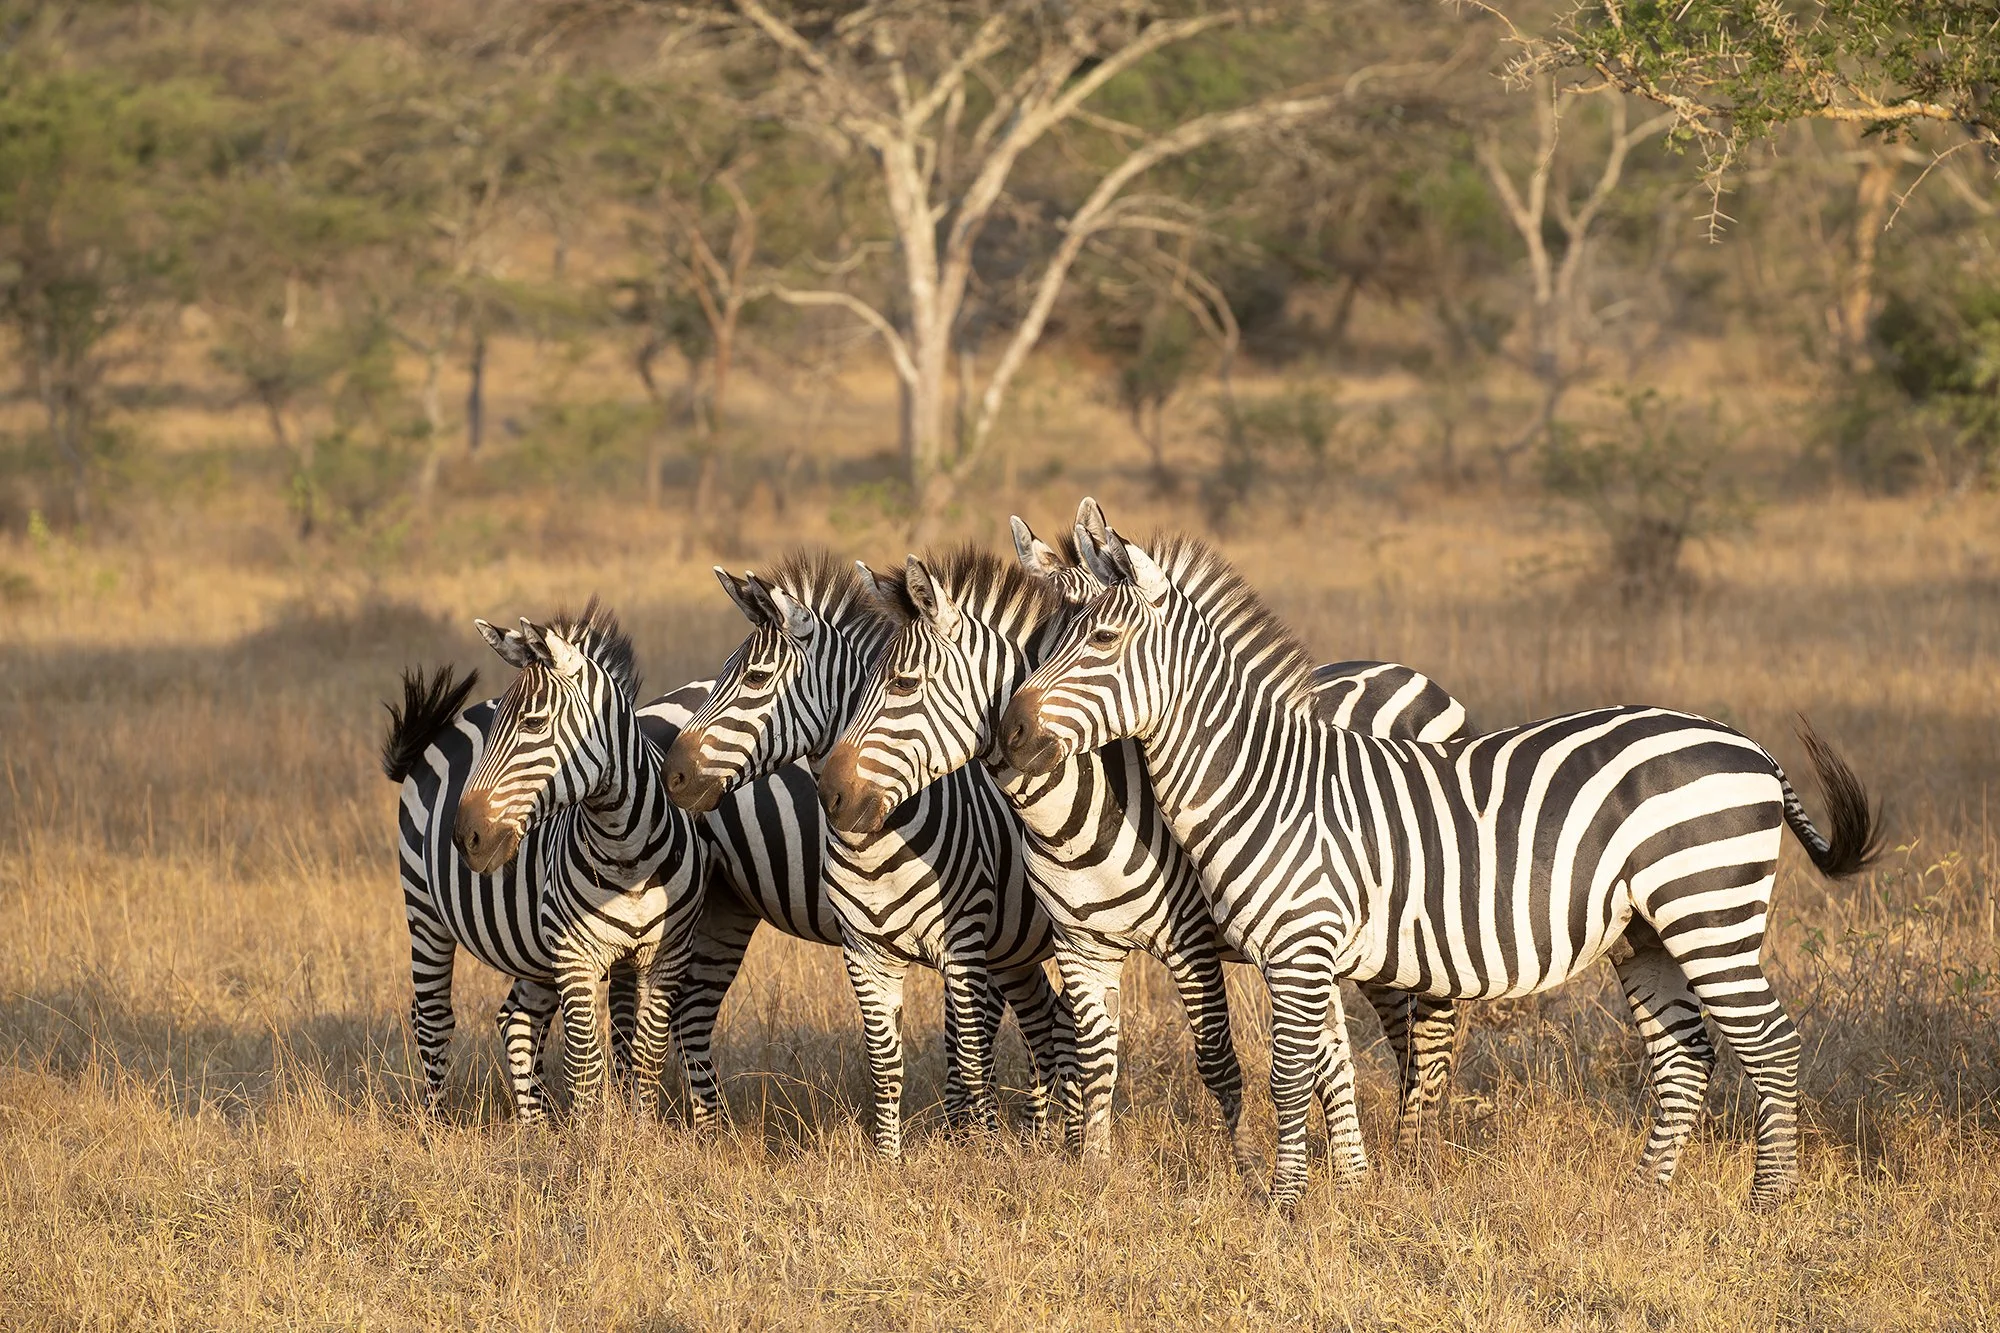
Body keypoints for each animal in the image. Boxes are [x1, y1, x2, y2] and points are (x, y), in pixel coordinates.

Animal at [382, 600, 711, 1122]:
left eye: (534, 725)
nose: (466, 838)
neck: (628, 856)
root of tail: (447, 726)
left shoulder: (669, 955)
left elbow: (646, 1056)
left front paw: (640, 1129)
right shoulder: (575, 957)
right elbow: (587, 1063)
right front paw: (593, 1136)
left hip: (531, 949)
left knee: (516, 1019)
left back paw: (534, 1125)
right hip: (425, 911)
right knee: (432, 1019)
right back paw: (436, 1126)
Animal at [660, 551, 1076, 1159]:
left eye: (756, 679)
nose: (672, 775)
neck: (878, 836)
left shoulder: (964, 948)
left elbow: (969, 1058)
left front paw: (978, 1151)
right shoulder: (864, 952)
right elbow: (885, 1064)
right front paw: (889, 1161)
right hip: (723, 907)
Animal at [815, 532, 1474, 1174]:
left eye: (902, 684)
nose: (830, 795)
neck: (1078, 813)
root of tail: (1410, 675)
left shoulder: (1191, 940)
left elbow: (1217, 1061)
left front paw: (1244, 1169)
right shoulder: (1081, 943)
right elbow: (1094, 1061)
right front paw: (1093, 1171)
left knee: (1423, 1036)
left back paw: (1413, 1155)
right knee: (1366, 1043)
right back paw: (1369, 1163)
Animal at [1000, 516, 1881, 1210]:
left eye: (1102, 641)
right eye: (1044, 644)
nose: (1011, 732)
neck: (1262, 781)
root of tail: (1749, 745)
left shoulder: (1295, 946)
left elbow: (1288, 1076)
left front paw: (1282, 1204)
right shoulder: (1302, 954)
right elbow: (1319, 1072)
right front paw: (1341, 1192)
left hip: (1709, 910)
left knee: (1770, 1044)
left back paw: (1769, 1202)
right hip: (1647, 931)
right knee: (1684, 1055)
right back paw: (1643, 1197)